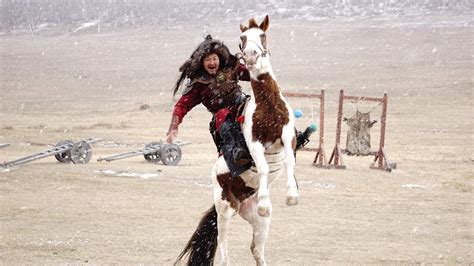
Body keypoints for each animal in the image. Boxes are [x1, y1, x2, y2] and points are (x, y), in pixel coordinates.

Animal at [176, 15, 298, 264]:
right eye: (242, 38)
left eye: (262, 35)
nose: (250, 55)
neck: (267, 106)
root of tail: (240, 203)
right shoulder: (254, 143)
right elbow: (262, 167)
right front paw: (264, 203)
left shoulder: (287, 134)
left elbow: (290, 160)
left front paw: (292, 196)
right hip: (224, 211)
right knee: (223, 252)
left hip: (257, 221)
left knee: (257, 251)